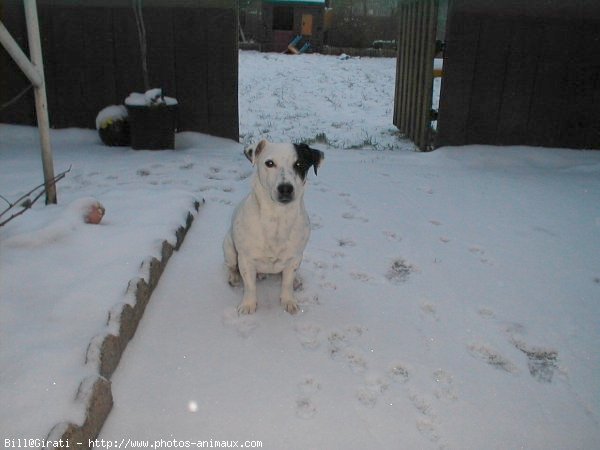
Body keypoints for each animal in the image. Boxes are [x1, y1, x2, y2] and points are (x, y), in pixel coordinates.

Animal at [223, 139, 324, 314]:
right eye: (269, 163)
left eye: (299, 164)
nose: (285, 188)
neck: (277, 217)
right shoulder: (246, 260)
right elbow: (250, 286)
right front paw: (248, 304)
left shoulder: (295, 258)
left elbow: (287, 283)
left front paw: (288, 301)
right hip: (229, 247)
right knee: (231, 266)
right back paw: (234, 277)